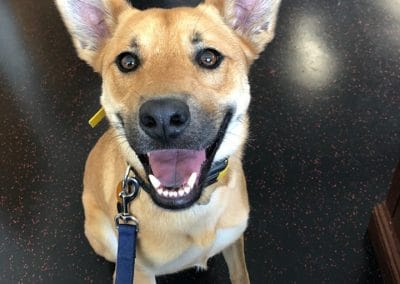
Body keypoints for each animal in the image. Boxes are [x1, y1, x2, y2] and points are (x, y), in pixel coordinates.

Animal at [55, 0, 282, 282]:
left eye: (209, 58)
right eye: (127, 61)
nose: (162, 118)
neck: (193, 210)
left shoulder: (234, 241)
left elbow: (240, 274)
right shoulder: (139, 272)